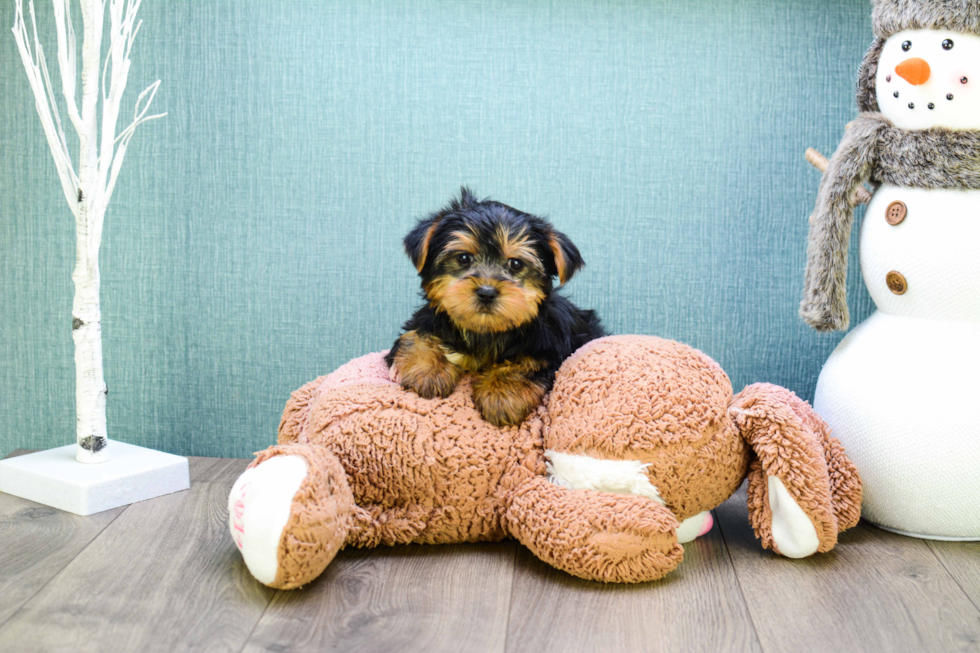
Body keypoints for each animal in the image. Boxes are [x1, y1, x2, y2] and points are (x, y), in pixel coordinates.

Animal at [384, 186, 604, 426]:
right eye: (464, 258)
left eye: (515, 263)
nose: (487, 292)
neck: (485, 331)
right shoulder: (429, 319)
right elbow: (415, 336)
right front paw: (428, 370)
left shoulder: (551, 345)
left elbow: (529, 362)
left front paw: (503, 394)